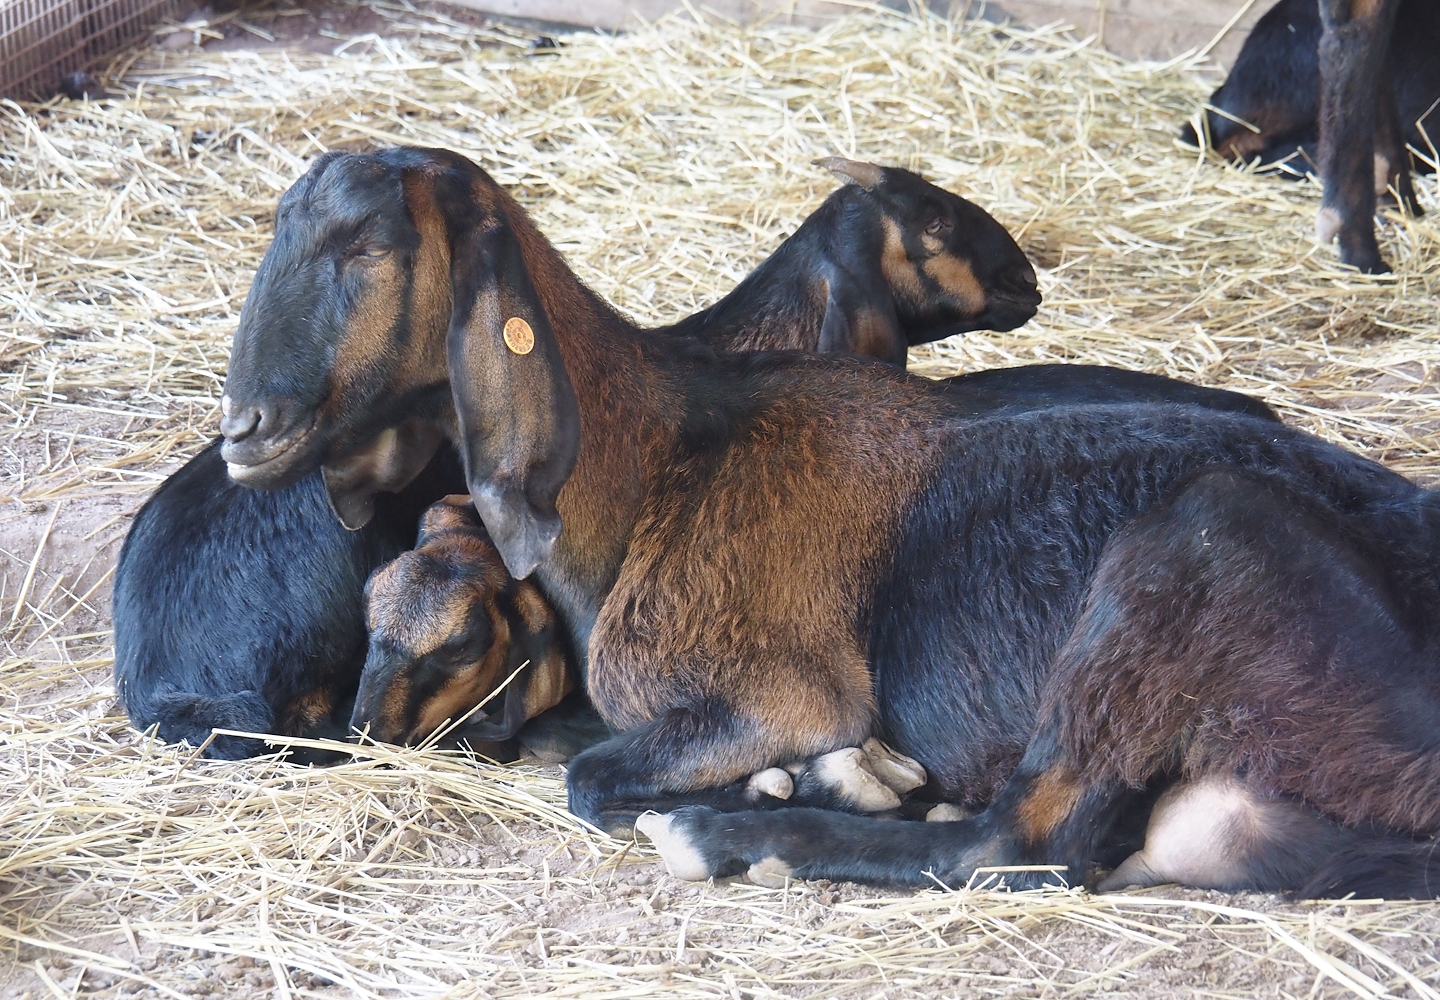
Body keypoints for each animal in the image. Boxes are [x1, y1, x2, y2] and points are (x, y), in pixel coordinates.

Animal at [216, 147, 1440, 898]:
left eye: (367, 245)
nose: (245, 430)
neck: (652, 467)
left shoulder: (780, 690)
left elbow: (594, 775)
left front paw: (771, 789)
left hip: (1200, 544)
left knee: (1015, 845)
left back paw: (737, 834)